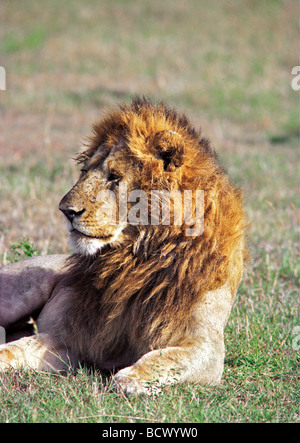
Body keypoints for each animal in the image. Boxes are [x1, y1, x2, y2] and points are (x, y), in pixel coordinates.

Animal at [0, 98, 247, 396]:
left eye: (114, 177)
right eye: (85, 172)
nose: (66, 211)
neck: (137, 258)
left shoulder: (207, 346)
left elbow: (167, 357)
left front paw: (133, 377)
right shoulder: (72, 338)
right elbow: (17, 347)